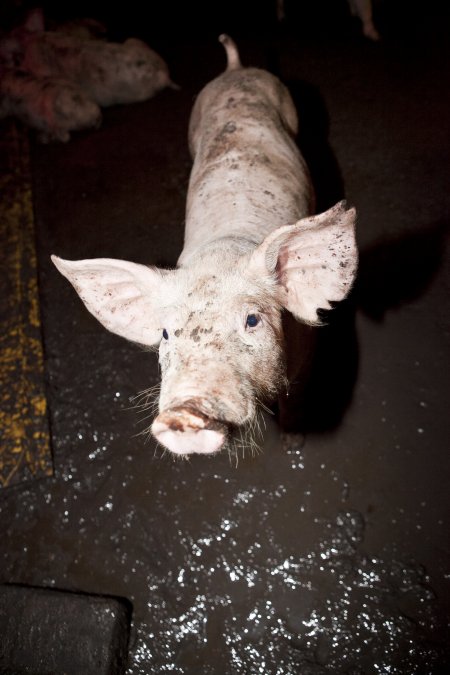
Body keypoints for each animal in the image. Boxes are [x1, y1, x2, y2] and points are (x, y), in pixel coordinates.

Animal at [51, 34, 358, 456]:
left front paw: (294, 442)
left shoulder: (308, 353)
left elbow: (296, 399)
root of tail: (235, 68)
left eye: (252, 320)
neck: (223, 251)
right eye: (167, 333)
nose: (185, 411)